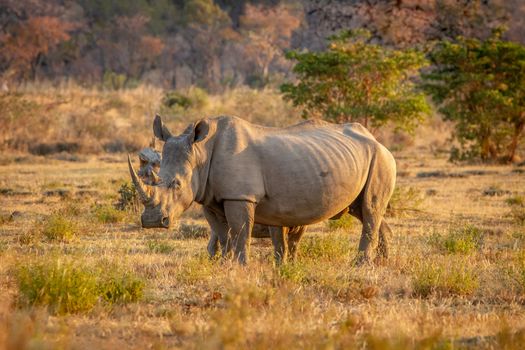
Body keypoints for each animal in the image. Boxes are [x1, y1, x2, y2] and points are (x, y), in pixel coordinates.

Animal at [129, 115, 396, 266]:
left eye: (177, 184)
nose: (152, 221)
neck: (200, 152)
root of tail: (377, 140)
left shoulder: (240, 196)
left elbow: (240, 232)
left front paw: (241, 267)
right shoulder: (209, 198)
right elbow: (222, 234)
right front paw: (224, 265)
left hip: (381, 158)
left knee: (370, 210)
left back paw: (360, 265)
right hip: (359, 158)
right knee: (364, 210)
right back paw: (382, 262)